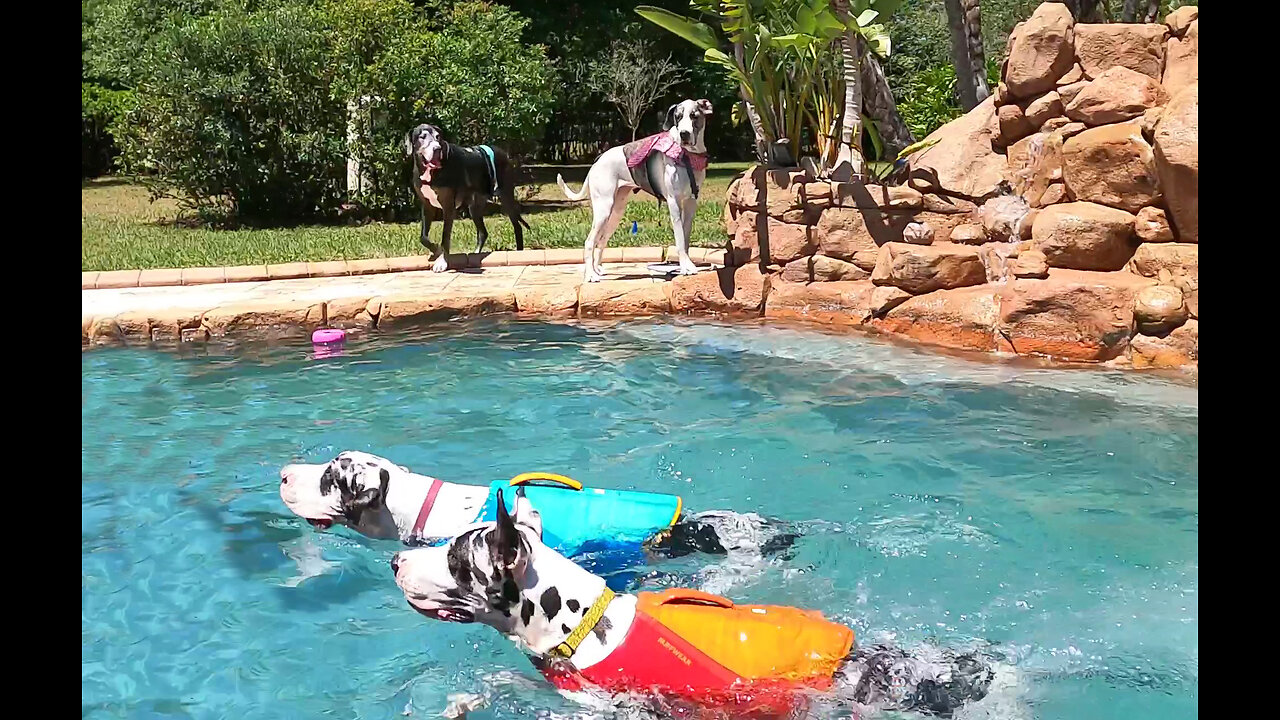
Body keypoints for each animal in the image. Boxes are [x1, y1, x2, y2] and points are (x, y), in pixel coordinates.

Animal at [407, 121, 532, 270]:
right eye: (422, 137)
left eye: (438, 137)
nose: (437, 148)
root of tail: (502, 152)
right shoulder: (427, 206)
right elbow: (423, 237)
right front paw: (436, 250)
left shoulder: (448, 207)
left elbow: (445, 237)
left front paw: (442, 261)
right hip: (475, 207)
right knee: (483, 232)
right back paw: (476, 253)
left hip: (506, 196)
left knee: (517, 227)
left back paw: (518, 251)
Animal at [555, 97, 711, 280]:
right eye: (677, 117)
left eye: (694, 116)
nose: (684, 134)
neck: (687, 155)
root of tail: (595, 164)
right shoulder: (674, 203)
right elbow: (679, 239)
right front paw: (686, 267)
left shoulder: (691, 202)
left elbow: (685, 239)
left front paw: (686, 265)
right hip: (603, 209)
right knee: (589, 241)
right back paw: (591, 275)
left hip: (616, 211)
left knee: (601, 240)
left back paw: (597, 268)